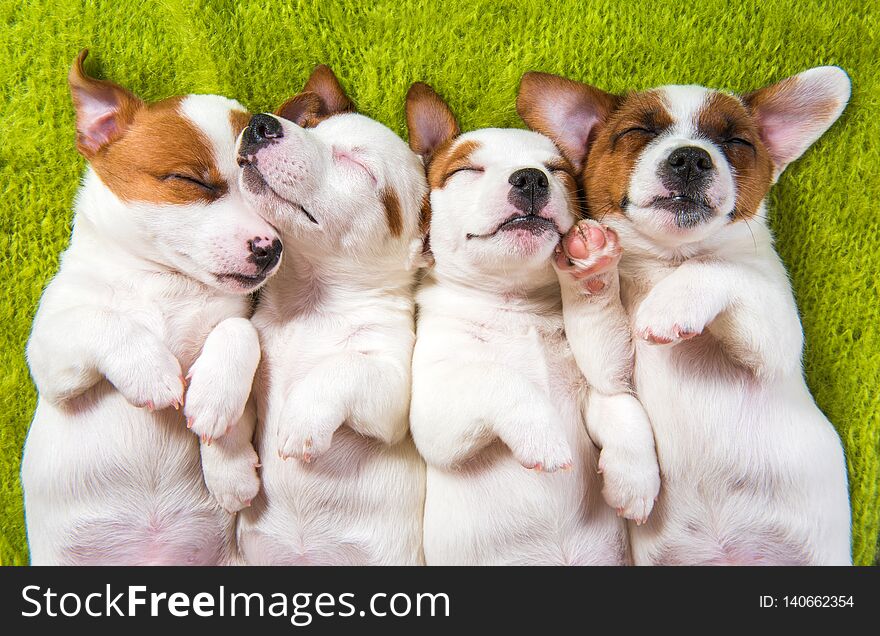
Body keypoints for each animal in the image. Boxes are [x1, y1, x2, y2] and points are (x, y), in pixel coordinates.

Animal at [21, 51, 278, 568]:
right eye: (190, 181)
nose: (271, 248)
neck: (166, 283)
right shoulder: (50, 362)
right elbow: (102, 320)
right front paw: (152, 371)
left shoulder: (240, 324)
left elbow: (238, 334)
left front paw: (220, 427)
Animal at [232, 63, 428, 560]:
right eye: (308, 126)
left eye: (356, 165)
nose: (262, 124)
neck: (312, 303)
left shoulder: (393, 396)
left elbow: (344, 368)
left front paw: (300, 419)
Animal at [408, 82, 660, 564]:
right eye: (466, 169)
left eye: (557, 171)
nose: (530, 178)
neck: (513, 306)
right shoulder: (432, 417)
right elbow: (497, 379)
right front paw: (544, 434)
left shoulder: (597, 383)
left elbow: (620, 401)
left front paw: (635, 476)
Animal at [520, 68, 856, 568]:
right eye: (637, 132)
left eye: (736, 141)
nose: (692, 159)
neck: (669, 262)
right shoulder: (608, 369)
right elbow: (617, 400)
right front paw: (633, 478)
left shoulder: (775, 342)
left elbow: (718, 267)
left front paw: (669, 305)